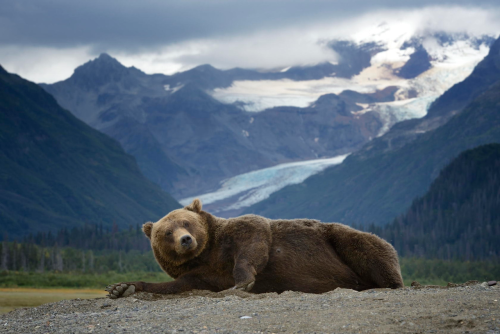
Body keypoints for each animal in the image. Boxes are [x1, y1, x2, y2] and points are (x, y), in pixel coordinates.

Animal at [105, 198, 402, 298]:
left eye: (186, 222)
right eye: (167, 232)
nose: (186, 240)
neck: (207, 254)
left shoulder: (238, 234)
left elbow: (254, 239)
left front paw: (243, 281)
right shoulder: (199, 274)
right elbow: (173, 286)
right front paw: (121, 288)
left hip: (338, 238)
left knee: (368, 247)